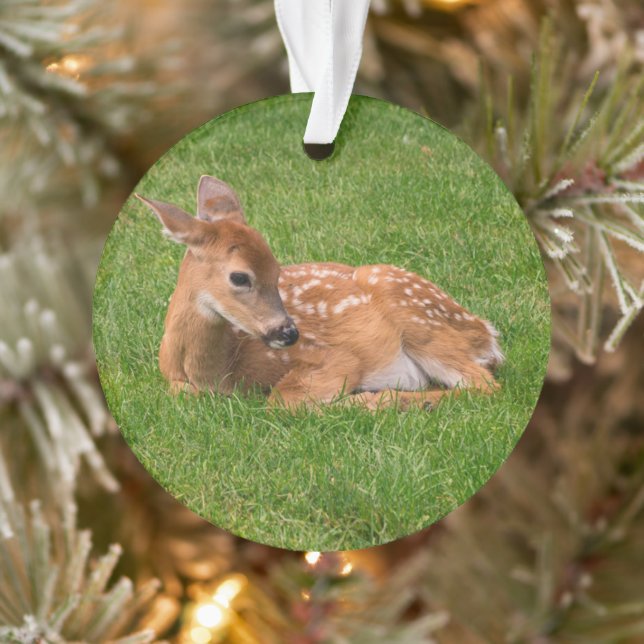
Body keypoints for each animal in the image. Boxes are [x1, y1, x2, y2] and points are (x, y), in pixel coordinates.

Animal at [135, 176, 504, 411]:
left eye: (278, 270)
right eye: (239, 277)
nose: (289, 333)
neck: (219, 370)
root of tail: (486, 333)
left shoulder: (334, 357)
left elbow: (281, 399)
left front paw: (361, 399)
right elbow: (182, 393)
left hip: (418, 318)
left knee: (484, 385)